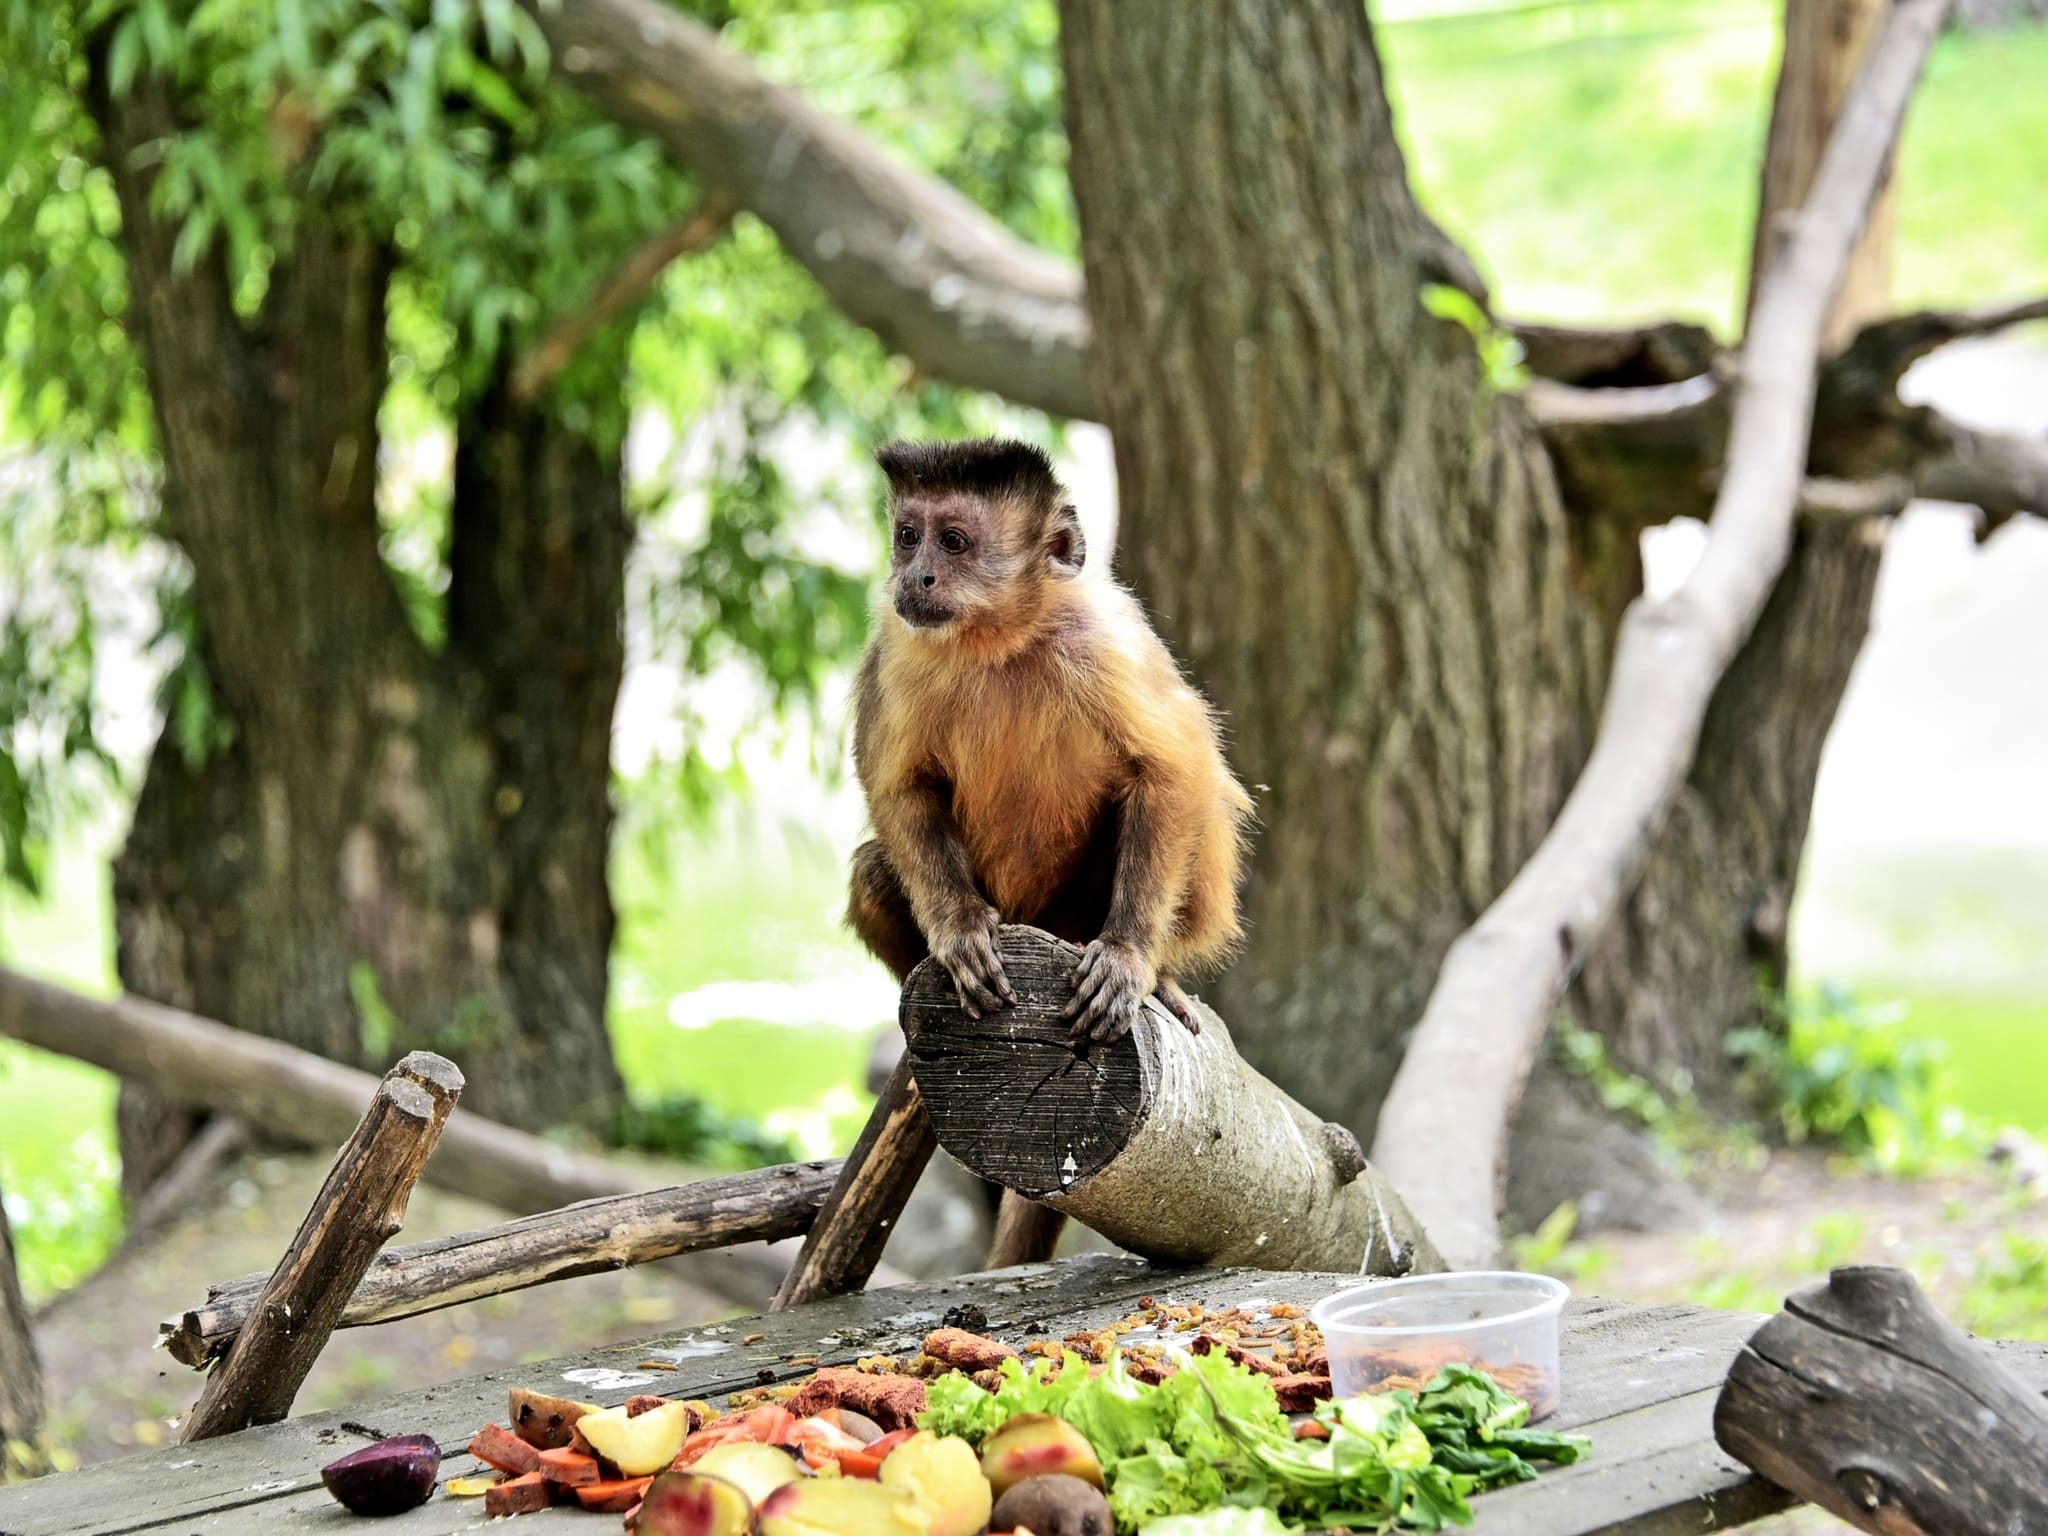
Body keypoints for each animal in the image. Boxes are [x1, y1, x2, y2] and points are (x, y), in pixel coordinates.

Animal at [843, 438, 1253, 1056]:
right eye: (908, 536)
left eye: (954, 542)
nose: (916, 577)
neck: (1000, 640)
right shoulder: (895, 643)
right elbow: (898, 783)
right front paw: (960, 929)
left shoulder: (1107, 635)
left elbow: (1173, 768)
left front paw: (1128, 958)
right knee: (872, 869)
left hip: (1073, 916)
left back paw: (1161, 977)